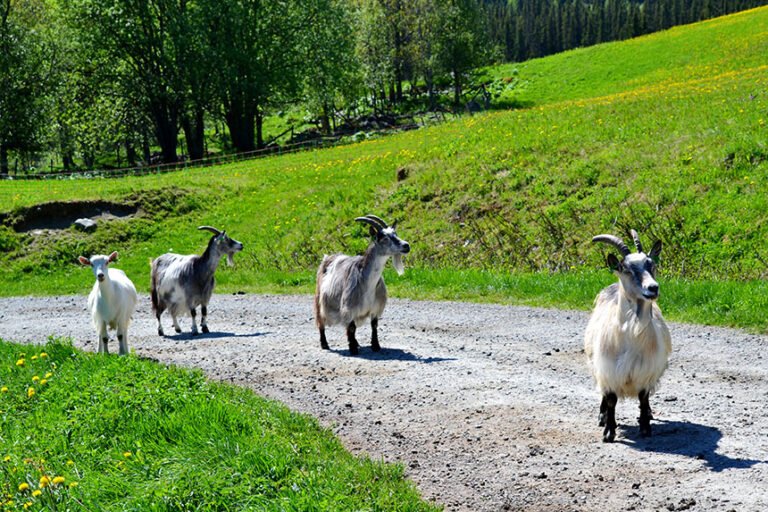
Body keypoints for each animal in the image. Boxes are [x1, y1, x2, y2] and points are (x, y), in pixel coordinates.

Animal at [314, 214, 412, 354]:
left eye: (395, 233)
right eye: (385, 238)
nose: (406, 245)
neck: (367, 283)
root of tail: (327, 257)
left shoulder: (375, 307)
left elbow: (374, 325)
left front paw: (375, 346)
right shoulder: (349, 306)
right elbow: (351, 327)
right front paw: (353, 349)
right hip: (319, 298)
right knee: (320, 321)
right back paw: (324, 344)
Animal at [584, 230, 668, 442]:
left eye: (651, 264)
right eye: (626, 269)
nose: (653, 288)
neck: (632, 335)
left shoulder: (646, 371)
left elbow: (643, 398)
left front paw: (645, 427)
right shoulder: (609, 370)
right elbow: (611, 400)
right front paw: (609, 431)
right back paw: (602, 416)